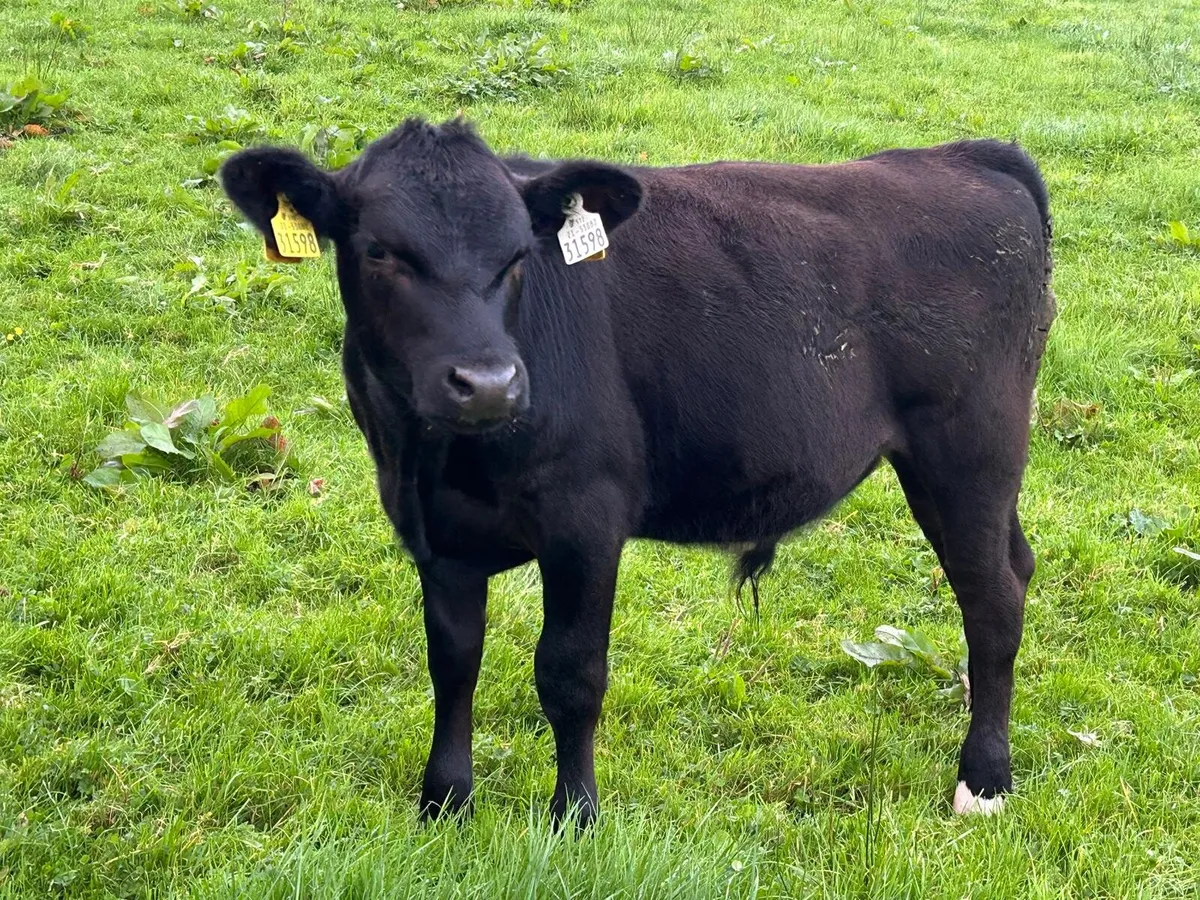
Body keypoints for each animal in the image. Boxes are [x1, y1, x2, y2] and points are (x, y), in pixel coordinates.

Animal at [220, 118, 1054, 825]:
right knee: (1016, 568)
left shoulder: (586, 518)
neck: (438, 460)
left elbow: (570, 675)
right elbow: (452, 662)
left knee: (992, 598)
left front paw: (575, 818)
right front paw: (445, 803)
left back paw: (983, 780)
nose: (489, 383)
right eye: (379, 251)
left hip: (969, 448)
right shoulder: (436, 535)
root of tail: (967, 156)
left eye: (517, 257)